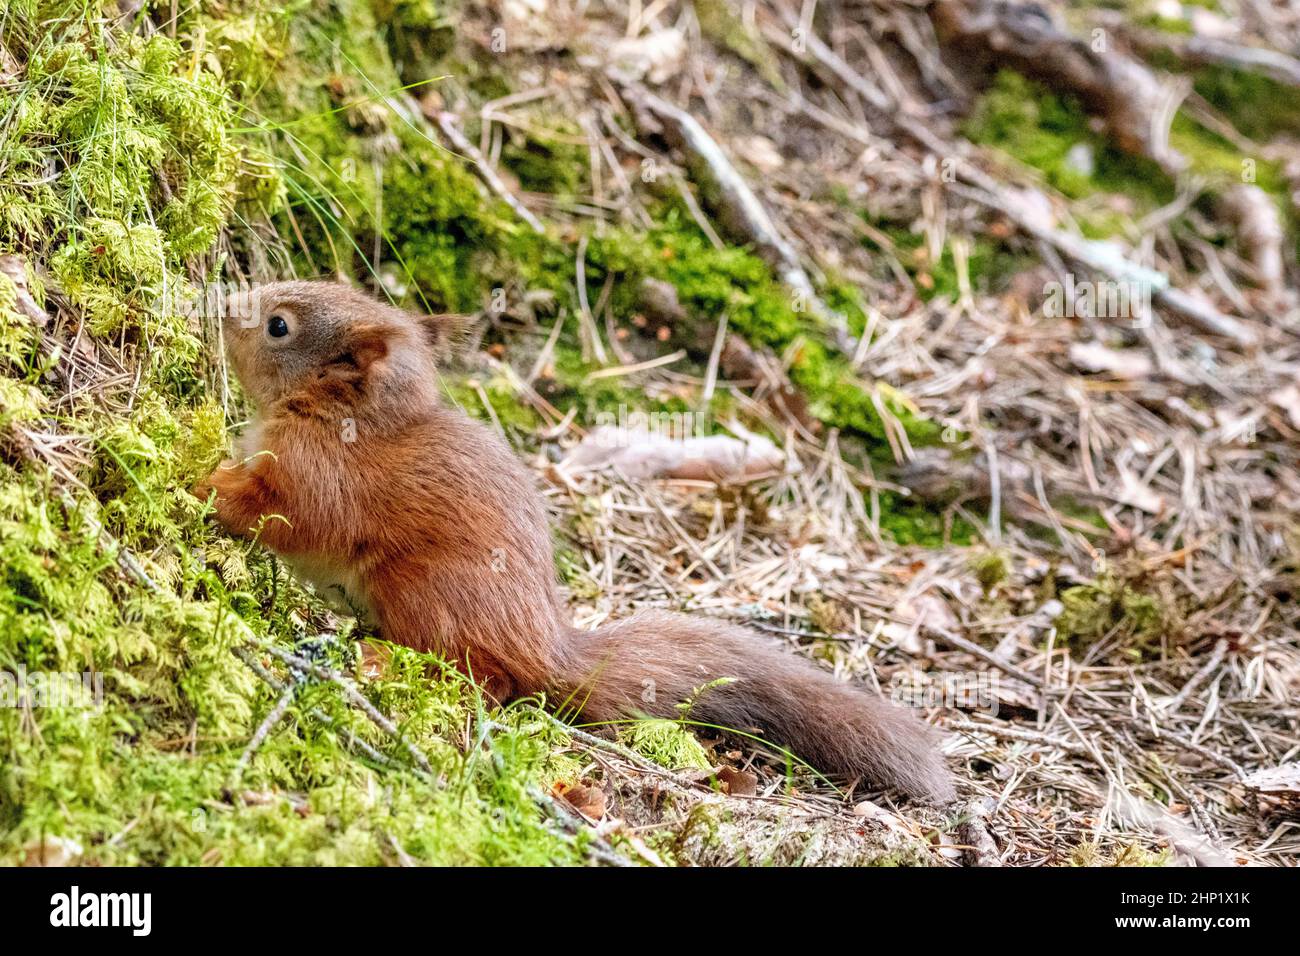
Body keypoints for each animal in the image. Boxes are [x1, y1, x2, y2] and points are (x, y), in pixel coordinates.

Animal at [196, 280, 955, 803]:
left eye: (278, 326)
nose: (224, 299)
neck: (346, 419)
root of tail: (546, 644)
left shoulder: (324, 481)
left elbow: (286, 514)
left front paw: (202, 483)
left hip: (423, 589)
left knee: (487, 680)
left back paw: (392, 663)